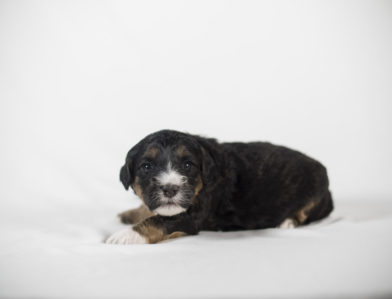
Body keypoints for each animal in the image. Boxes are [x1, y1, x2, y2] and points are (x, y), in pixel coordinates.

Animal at [106, 130, 334, 245]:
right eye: (147, 166)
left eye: (187, 165)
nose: (170, 189)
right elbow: (151, 212)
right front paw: (128, 215)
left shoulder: (192, 217)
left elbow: (158, 220)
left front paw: (126, 235)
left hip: (315, 191)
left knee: (305, 214)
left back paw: (288, 222)